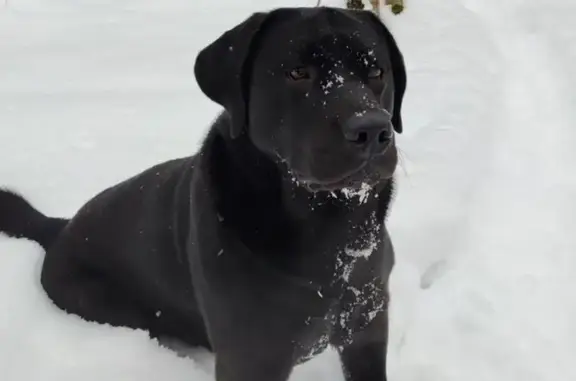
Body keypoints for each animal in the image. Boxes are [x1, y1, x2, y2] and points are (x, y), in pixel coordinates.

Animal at [0, 5, 408, 380]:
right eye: (297, 72)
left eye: (376, 72)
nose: (372, 129)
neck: (332, 234)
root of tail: (61, 226)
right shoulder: (252, 356)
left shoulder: (368, 329)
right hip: (105, 304)